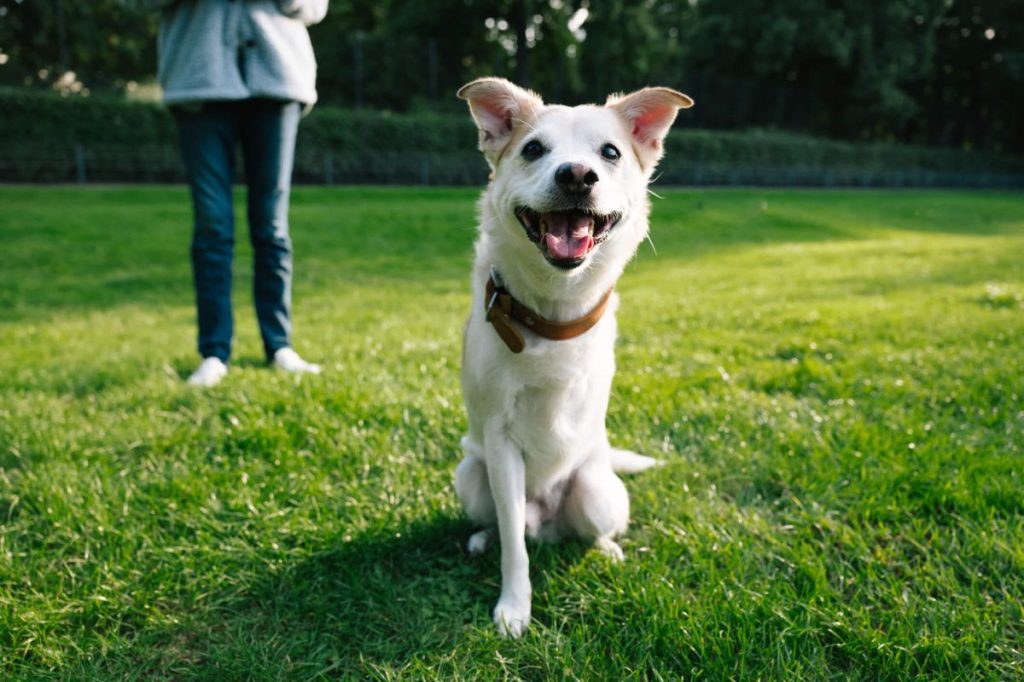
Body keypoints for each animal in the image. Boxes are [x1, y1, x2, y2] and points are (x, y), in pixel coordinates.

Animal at [456, 76, 696, 634]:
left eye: (609, 152)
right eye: (532, 149)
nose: (577, 175)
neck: (553, 312)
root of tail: (548, 521)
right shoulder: (499, 443)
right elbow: (514, 545)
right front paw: (514, 606)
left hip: (596, 490)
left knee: (593, 526)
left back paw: (606, 548)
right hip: (471, 476)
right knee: (506, 525)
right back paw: (483, 538)